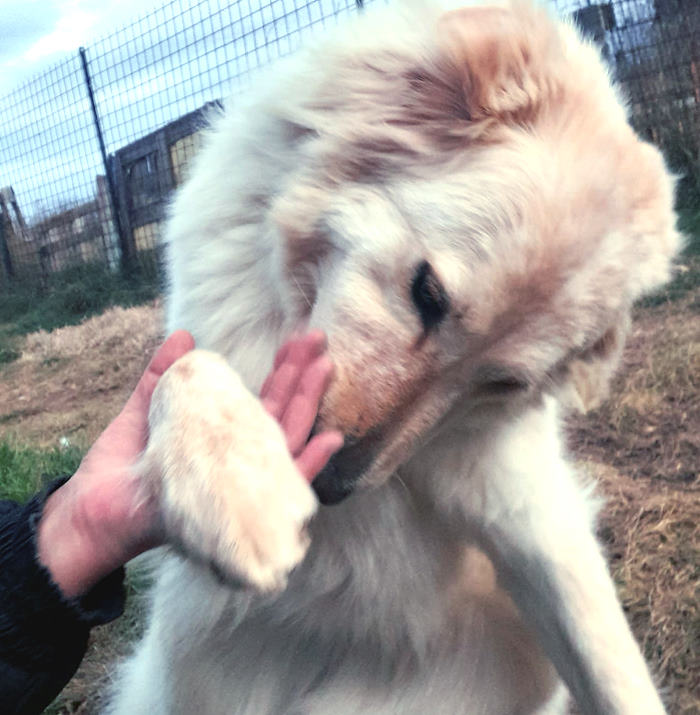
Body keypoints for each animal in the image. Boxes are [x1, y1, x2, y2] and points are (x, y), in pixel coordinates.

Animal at [108, 2, 680, 712]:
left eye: (499, 383)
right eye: (427, 293)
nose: (330, 486)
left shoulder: (530, 516)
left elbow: (610, 668)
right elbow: (181, 368)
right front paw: (237, 495)